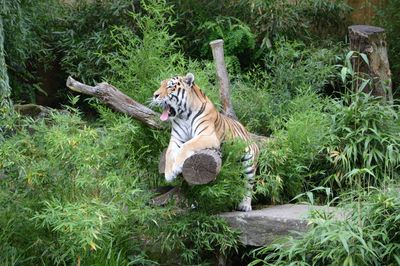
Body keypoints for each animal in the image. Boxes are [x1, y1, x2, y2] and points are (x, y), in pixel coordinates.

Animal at [152, 72, 258, 212]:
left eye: (170, 86)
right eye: (160, 85)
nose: (155, 95)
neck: (184, 116)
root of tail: (247, 132)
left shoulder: (207, 135)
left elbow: (187, 145)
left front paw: (176, 167)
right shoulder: (176, 139)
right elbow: (169, 153)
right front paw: (169, 174)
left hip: (249, 164)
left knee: (248, 184)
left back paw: (245, 205)